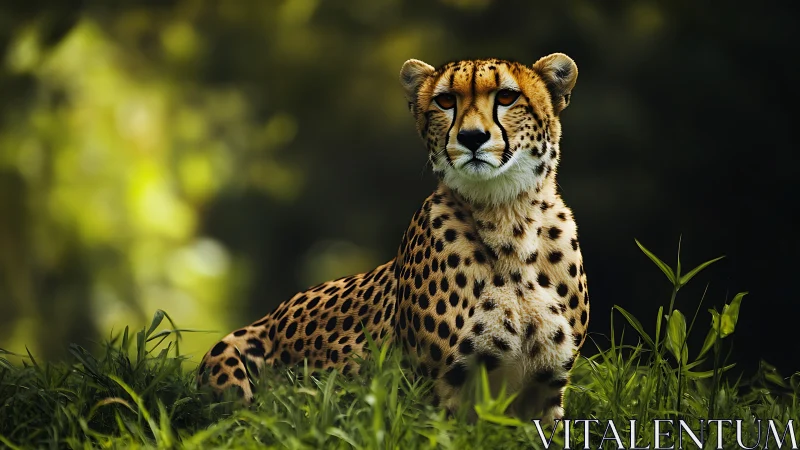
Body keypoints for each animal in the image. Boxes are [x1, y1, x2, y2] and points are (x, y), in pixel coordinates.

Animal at [196, 53, 589, 424]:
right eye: (446, 101)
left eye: (507, 96)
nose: (472, 138)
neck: (509, 217)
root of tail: (269, 316)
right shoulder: (438, 394)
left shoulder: (545, 391)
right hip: (228, 356)